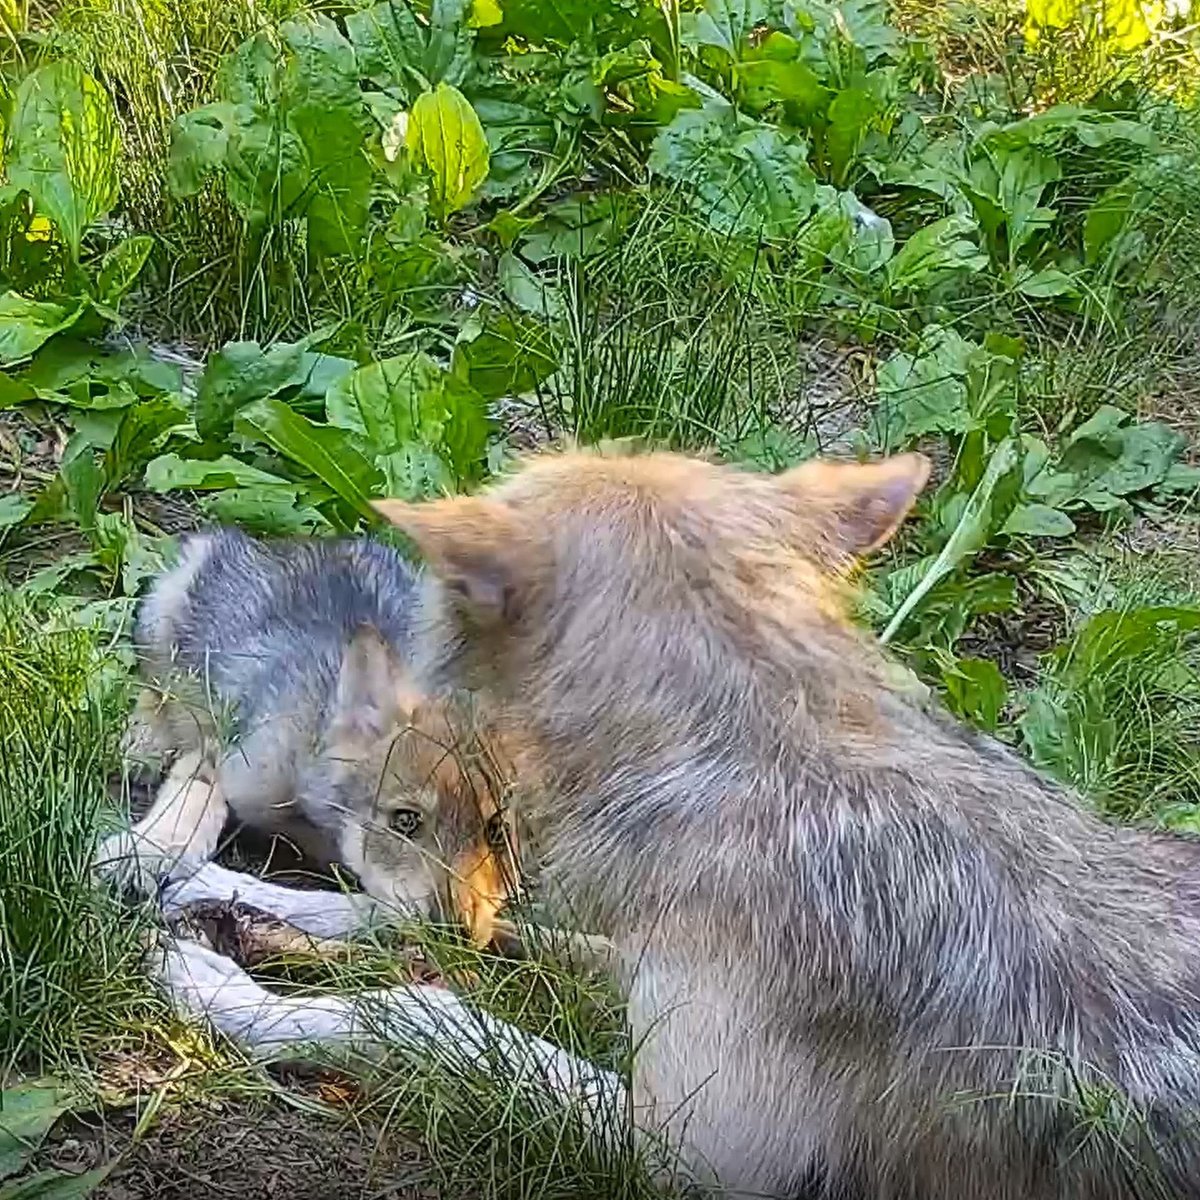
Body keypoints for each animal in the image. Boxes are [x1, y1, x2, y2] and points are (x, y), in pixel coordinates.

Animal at [96, 527, 521, 949]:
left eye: (496, 831)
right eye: (405, 820)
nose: (458, 936)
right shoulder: (225, 752)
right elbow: (194, 799)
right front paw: (143, 853)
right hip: (165, 617)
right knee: (153, 684)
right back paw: (144, 742)